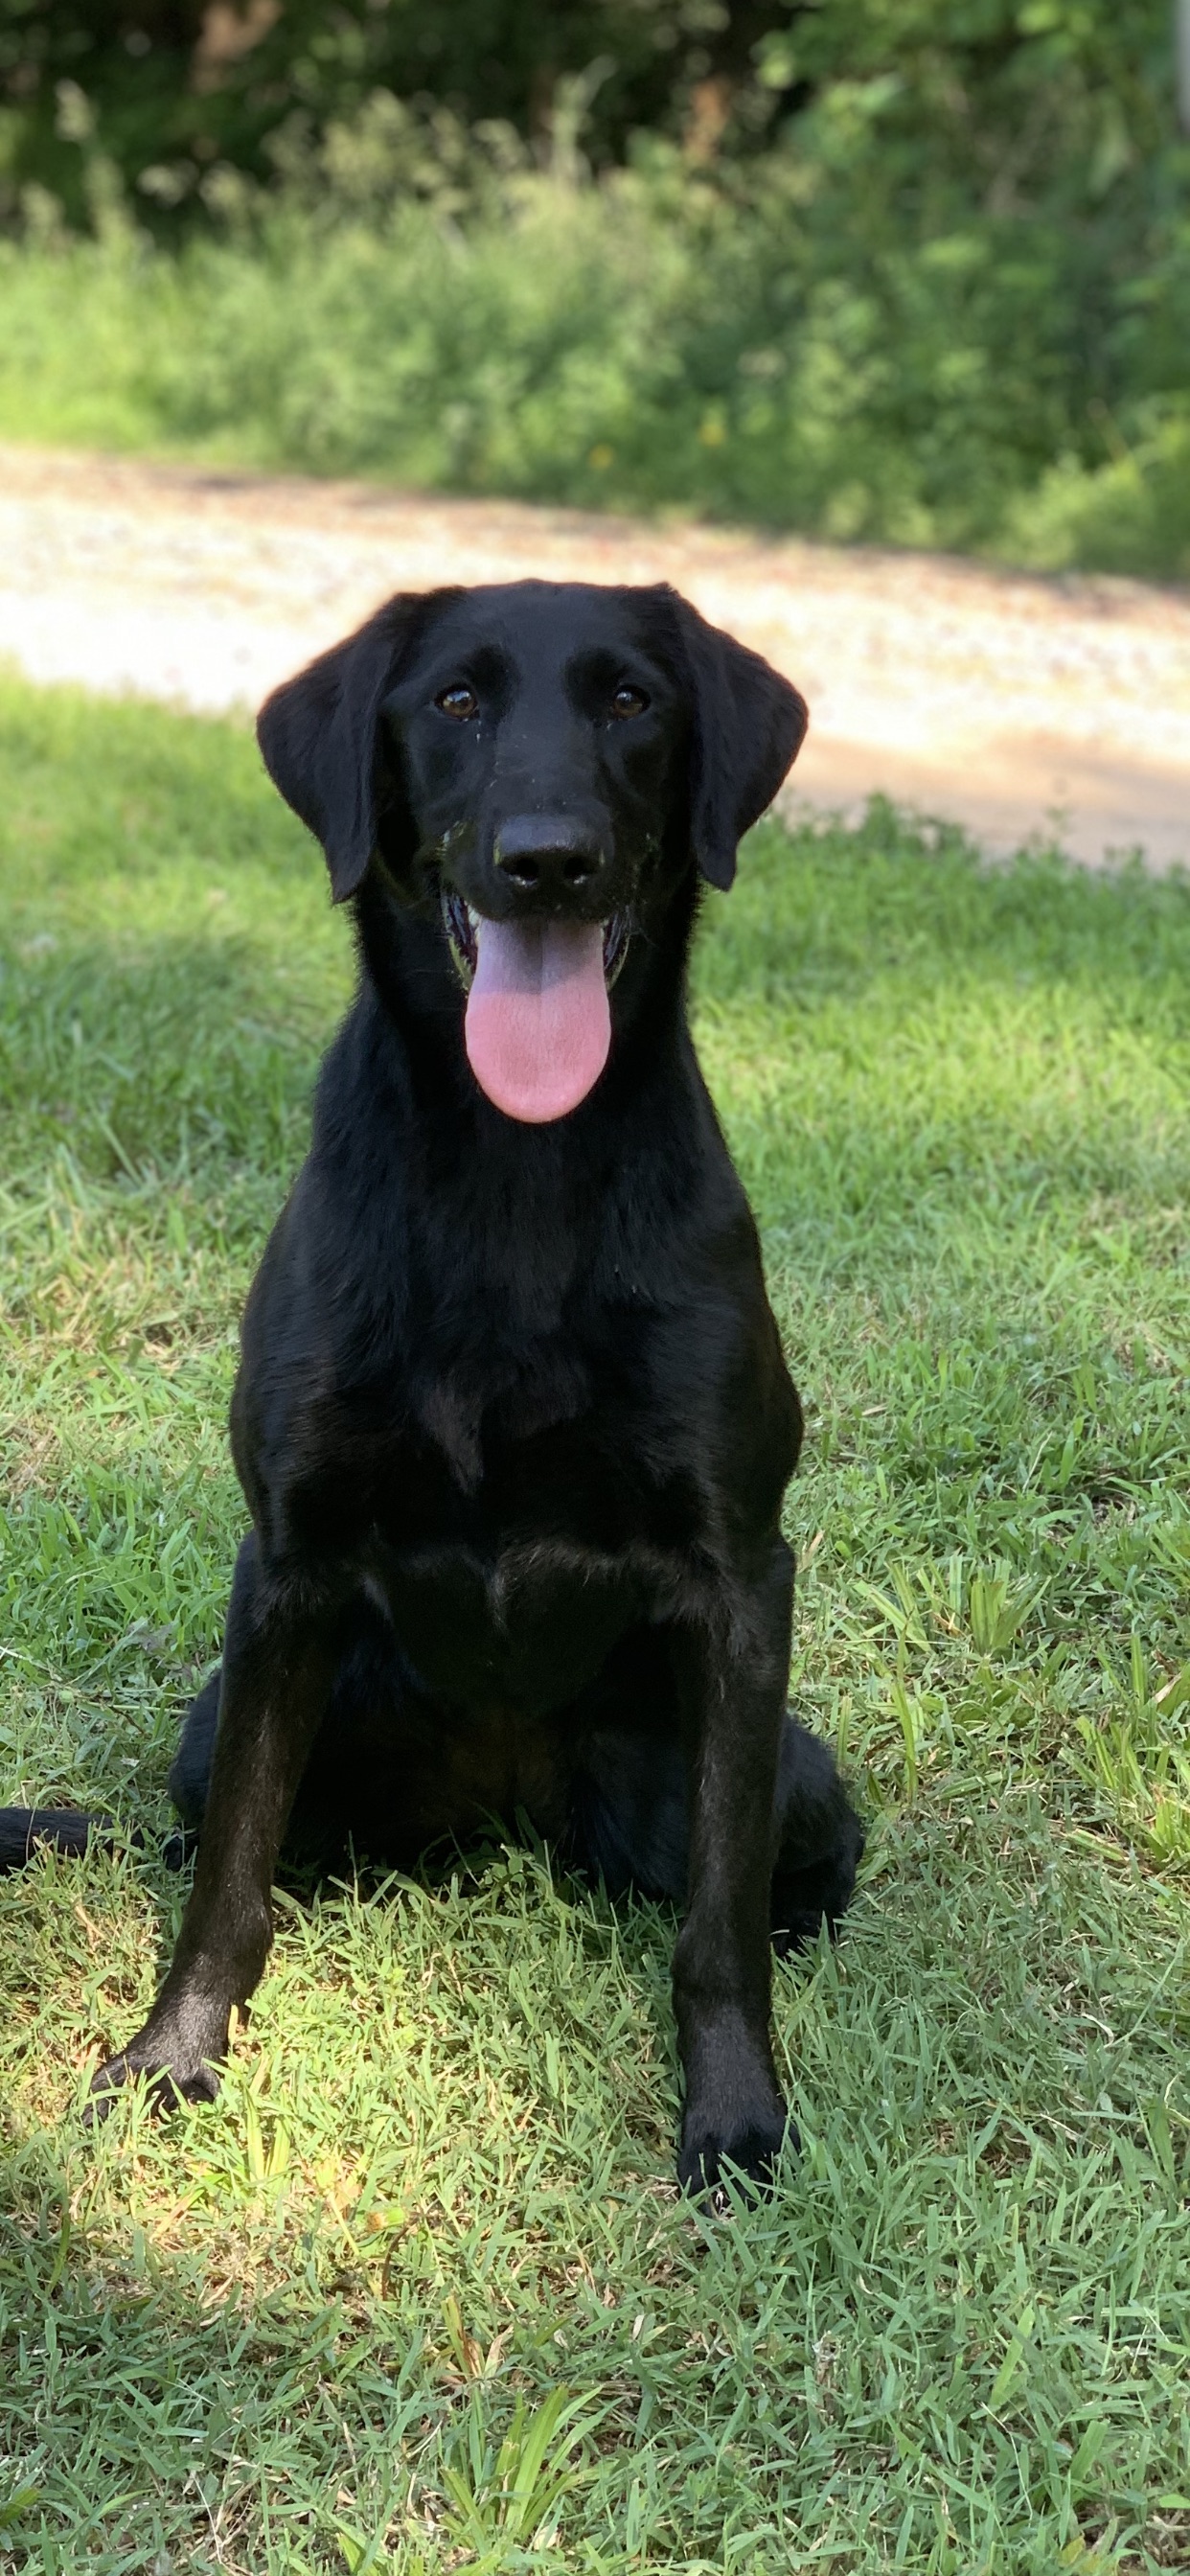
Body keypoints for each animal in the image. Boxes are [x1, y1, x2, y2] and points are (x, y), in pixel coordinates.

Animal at [4, 589, 859, 2195]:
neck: (511, 1167)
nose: (546, 860)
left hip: (797, 1765)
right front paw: (170, 2058)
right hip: (221, 1722)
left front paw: (734, 2116)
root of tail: (503, 1812)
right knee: (219, 1847)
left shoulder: (739, 1579)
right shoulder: (285, 1568)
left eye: (631, 702)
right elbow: (226, 1888)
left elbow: (712, 1928)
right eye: (455, 703)